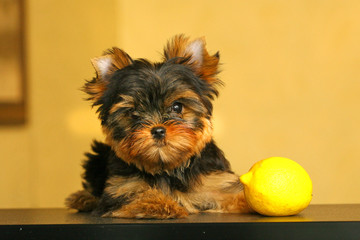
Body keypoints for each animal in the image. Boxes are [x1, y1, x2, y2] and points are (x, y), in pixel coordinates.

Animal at [65, 34, 250, 218]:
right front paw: (163, 204)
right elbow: (141, 196)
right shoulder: (121, 189)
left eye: (177, 107)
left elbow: (239, 196)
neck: (167, 169)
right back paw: (82, 198)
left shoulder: (216, 182)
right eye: (133, 113)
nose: (158, 130)